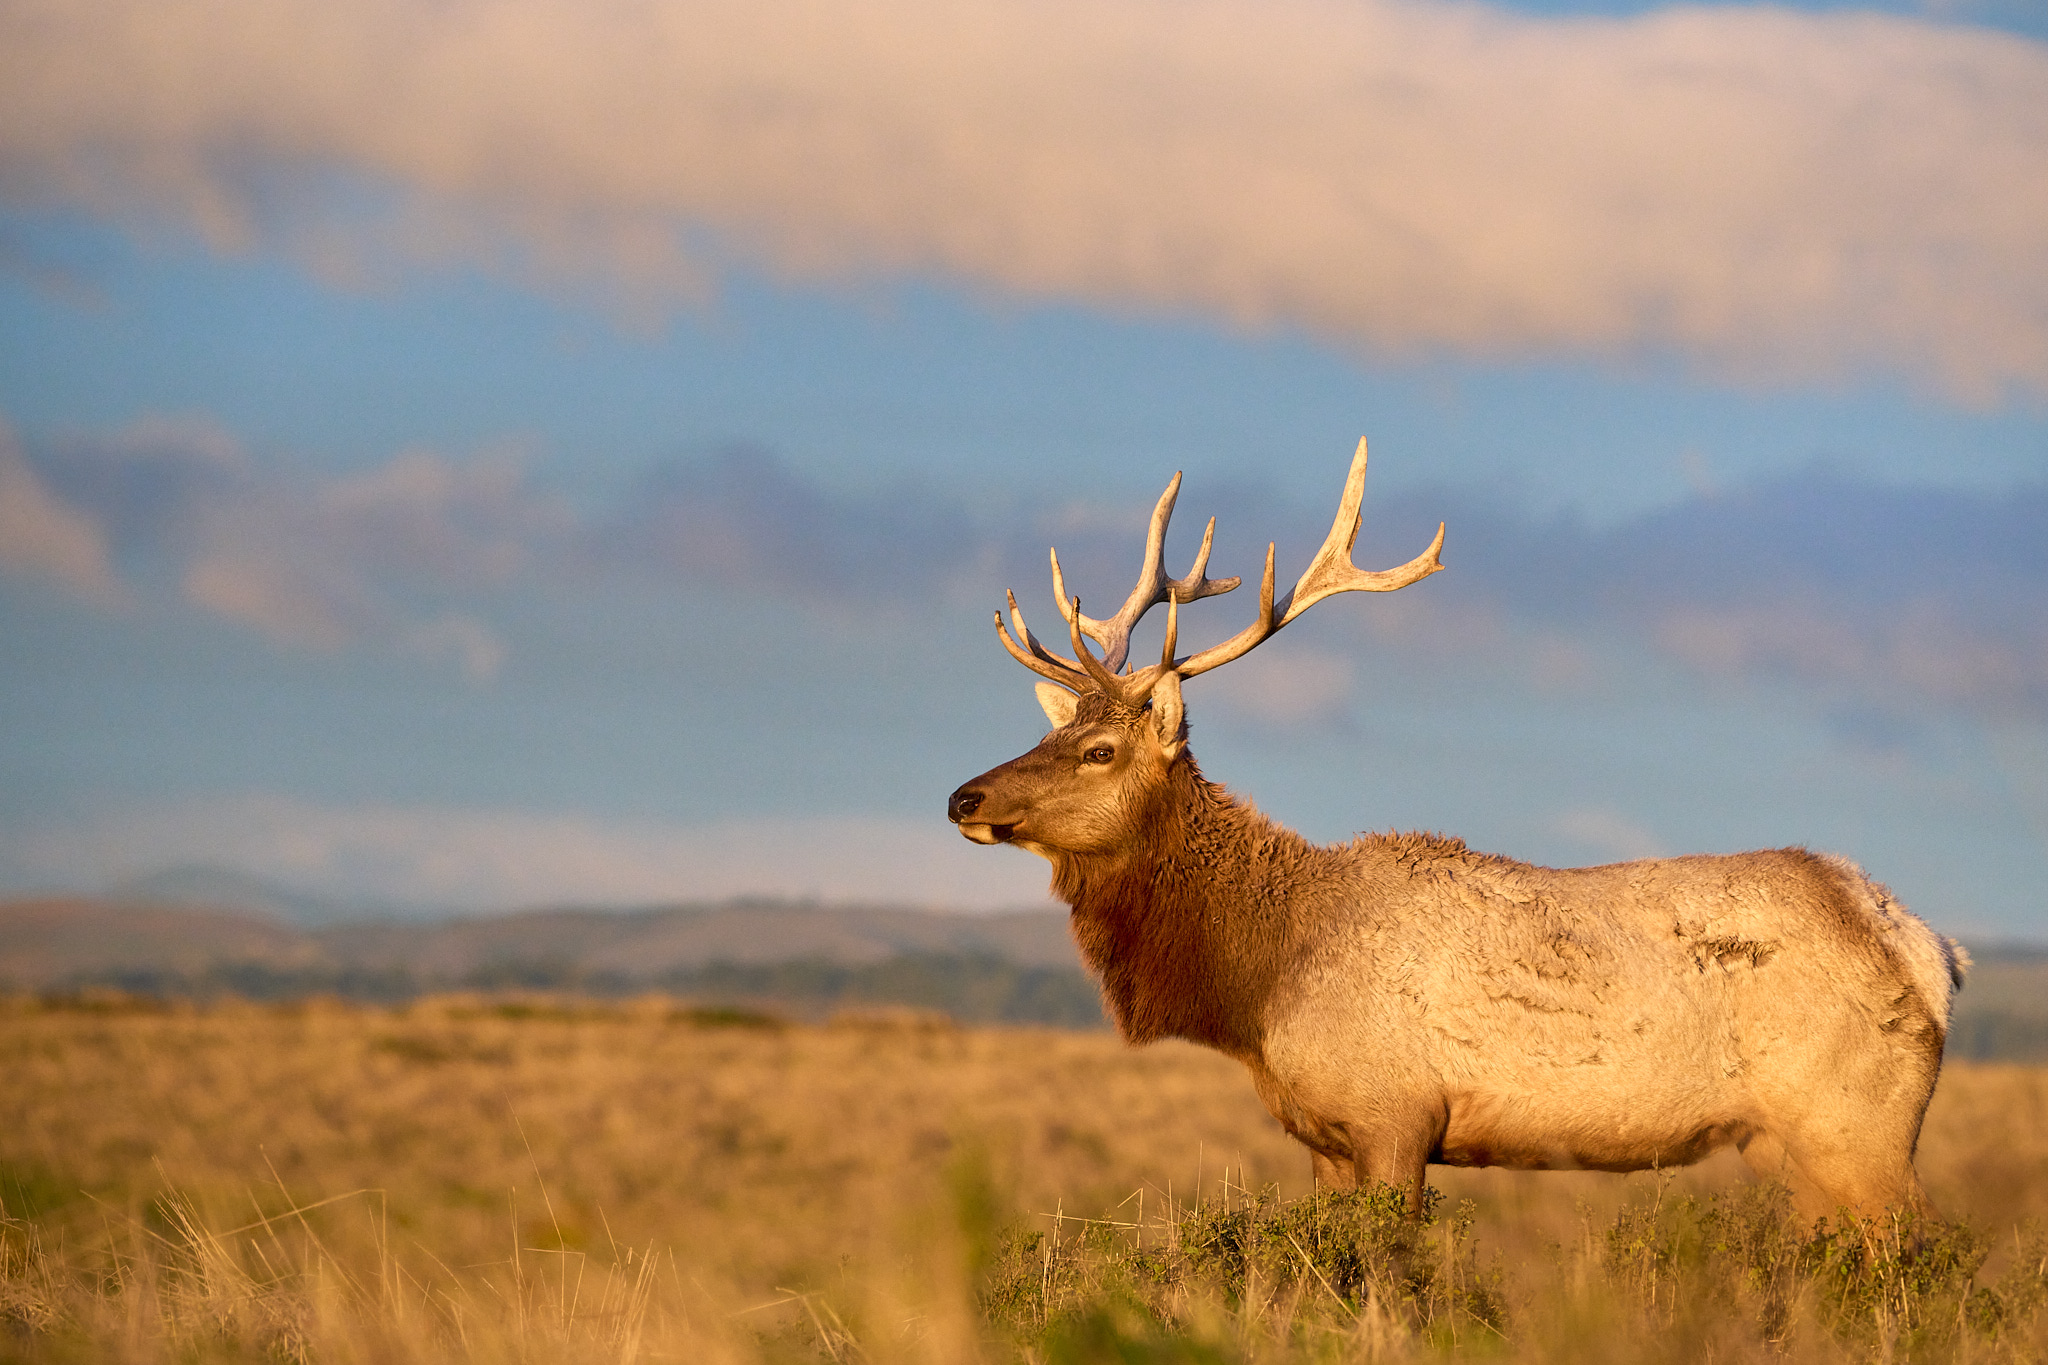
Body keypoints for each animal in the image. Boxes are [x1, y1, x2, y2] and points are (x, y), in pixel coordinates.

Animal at [948, 439, 1967, 1222]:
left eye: (1100, 750)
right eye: (1051, 732)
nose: (963, 798)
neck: (1262, 978)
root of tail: (1928, 951)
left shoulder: (1395, 1115)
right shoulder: (1325, 1137)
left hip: (1858, 1124)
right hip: (1783, 1145)